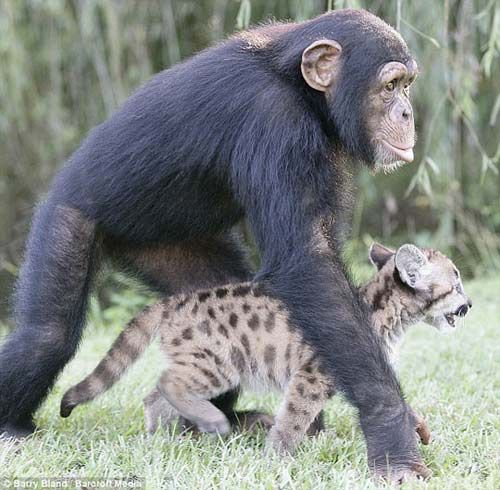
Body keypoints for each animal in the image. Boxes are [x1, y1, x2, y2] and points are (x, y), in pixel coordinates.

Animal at [1, 7, 428, 480]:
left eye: (406, 85)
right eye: (388, 87)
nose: (407, 112)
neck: (298, 87)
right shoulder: (274, 121)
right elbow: (307, 262)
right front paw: (392, 431)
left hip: (175, 250)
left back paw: (217, 419)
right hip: (67, 217)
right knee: (46, 337)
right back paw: (15, 425)